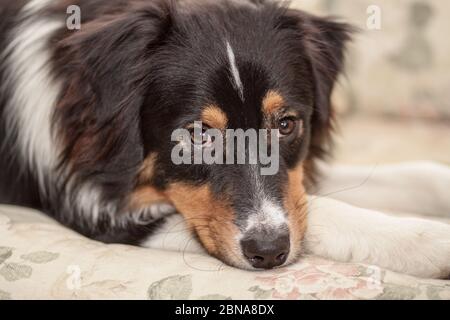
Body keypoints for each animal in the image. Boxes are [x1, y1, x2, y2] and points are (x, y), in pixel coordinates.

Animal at [0, 0, 448, 278]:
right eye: (198, 135)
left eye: (286, 124)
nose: (268, 253)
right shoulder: (98, 211)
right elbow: (328, 210)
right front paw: (429, 240)